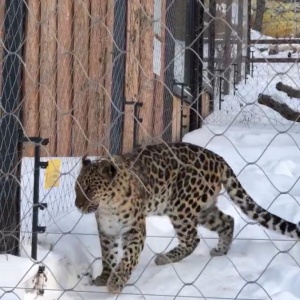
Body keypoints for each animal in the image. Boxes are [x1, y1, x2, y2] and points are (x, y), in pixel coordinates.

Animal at [74, 142, 300, 294]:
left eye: (89, 189)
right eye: (77, 188)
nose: (77, 204)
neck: (108, 207)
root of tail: (218, 158)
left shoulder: (134, 230)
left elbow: (128, 257)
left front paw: (116, 282)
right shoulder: (107, 230)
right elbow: (108, 255)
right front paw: (104, 277)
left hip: (181, 207)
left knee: (193, 238)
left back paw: (165, 257)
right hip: (204, 209)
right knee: (227, 220)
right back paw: (220, 250)